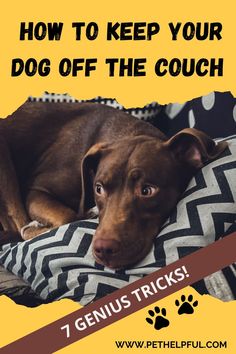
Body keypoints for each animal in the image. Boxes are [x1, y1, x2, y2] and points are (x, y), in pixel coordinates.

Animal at [0, 101, 227, 268]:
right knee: (18, 225)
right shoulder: (37, 191)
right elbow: (67, 216)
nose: (104, 249)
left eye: (147, 190)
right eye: (98, 188)